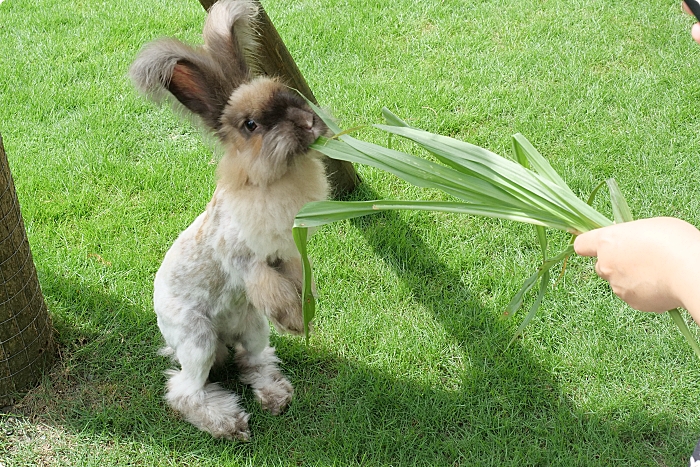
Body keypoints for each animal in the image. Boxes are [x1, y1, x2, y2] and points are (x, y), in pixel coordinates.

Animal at [129, 0, 330, 442]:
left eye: (286, 93)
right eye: (251, 125)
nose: (309, 124)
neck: (268, 178)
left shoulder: (289, 253)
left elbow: (297, 279)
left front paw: (305, 312)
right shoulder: (245, 260)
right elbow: (271, 286)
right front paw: (295, 322)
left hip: (252, 325)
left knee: (252, 361)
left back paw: (277, 398)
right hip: (199, 338)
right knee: (184, 391)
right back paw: (228, 424)